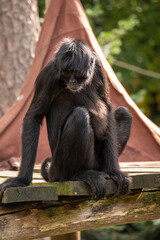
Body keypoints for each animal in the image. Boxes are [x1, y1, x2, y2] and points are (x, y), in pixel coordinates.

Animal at [0, 38, 132, 199]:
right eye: (67, 74)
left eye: (78, 74)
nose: (73, 82)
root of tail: (53, 171)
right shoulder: (49, 73)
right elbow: (34, 116)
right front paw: (21, 180)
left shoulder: (98, 67)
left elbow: (107, 107)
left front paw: (115, 172)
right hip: (60, 164)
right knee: (80, 116)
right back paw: (81, 174)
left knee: (124, 113)